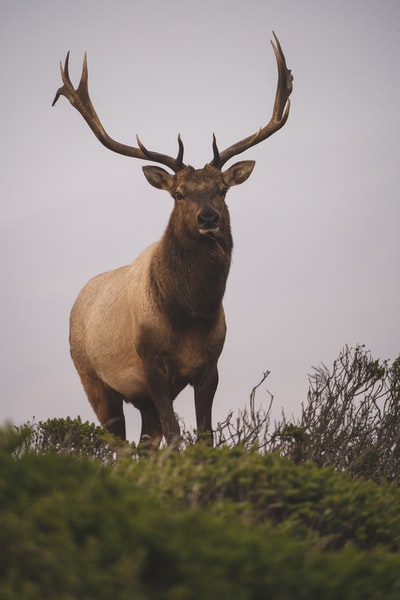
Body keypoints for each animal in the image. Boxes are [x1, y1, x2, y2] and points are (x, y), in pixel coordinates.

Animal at [52, 32, 290, 450]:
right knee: (121, 447)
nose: (208, 218)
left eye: (222, 190)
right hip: (93, 379)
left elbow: (204, 437)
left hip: (140, 398)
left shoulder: (210, 366)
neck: (189, 315)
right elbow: (178, 437)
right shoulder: (151, 364)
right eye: (179, 194)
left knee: (145, 445)